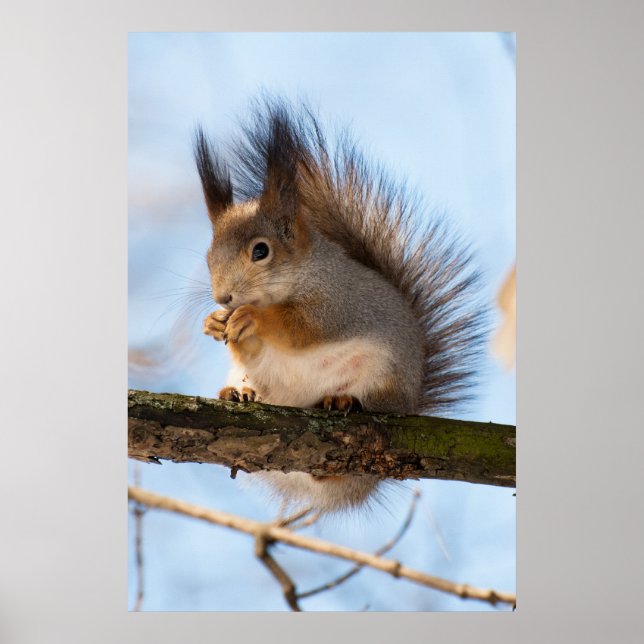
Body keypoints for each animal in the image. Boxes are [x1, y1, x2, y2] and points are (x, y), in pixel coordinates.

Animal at [195, 97, 485, 514]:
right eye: (209, 255)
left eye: (261, 251)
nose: (223, 298)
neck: (303, 272)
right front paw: (215, 322)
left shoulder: (336, 303)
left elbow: (301, 329)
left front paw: (252, 317)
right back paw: (238, 393)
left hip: (383, 380)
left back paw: (342, 400)